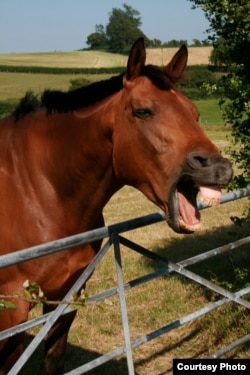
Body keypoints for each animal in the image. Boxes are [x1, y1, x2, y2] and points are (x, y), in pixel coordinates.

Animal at [0, 39, 233, 375]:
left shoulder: (66, 297)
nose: (219, 168)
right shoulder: (12, 308)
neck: (37, 186)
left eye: (195, 112)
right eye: (143, 111)